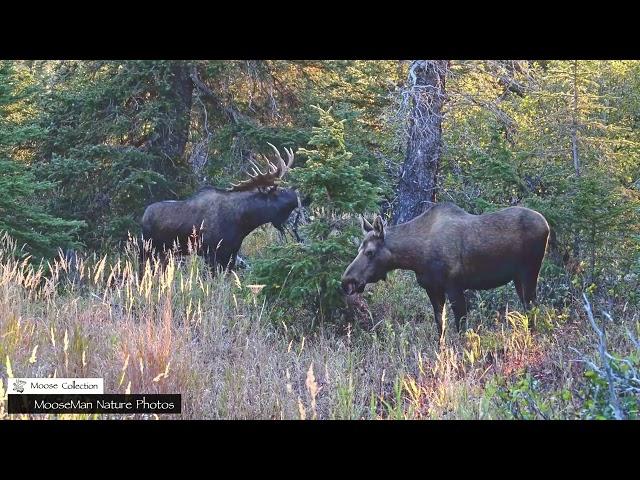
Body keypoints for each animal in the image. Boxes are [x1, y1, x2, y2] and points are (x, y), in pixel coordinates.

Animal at [140, 143, 300, 274]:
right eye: (278, 191)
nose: (295, 195)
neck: (244, 222)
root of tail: (143, 215)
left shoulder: (231, 254)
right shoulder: (211, 253)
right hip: (148, 248)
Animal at [340, 202, 552, 338]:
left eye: (369, 252)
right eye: (358, 249)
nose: (347, 282)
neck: (415, 257)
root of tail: (547, 225)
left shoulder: (454, 285)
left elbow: (460, 327)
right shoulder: (433, 288)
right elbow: (440, 327)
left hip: (530, 270)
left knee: (532, 305)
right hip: (518, 277)